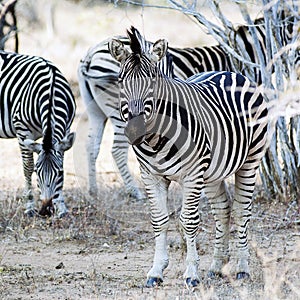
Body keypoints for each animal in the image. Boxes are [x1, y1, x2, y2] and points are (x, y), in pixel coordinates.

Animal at [0, 50, 76, 217]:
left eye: (60, 173)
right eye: (37, 172)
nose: (45, 211)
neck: (51, 91)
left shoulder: (66, 129)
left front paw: (61, 207)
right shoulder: (22, 131)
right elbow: (26, 167)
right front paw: (29, 207)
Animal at [77, 11, 296, 199]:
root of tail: (90, 55)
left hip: (95, 109)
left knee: (91, 145)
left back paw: (93, 191)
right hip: (118, 111)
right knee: (117, 149)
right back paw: (134, 191)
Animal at [109, 29, 268, 288]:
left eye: (153, 80)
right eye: (121, 81)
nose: (134, 130)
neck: (156, 139)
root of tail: (230, 72)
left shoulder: (192, 174)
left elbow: (189, 221)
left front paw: (192, 274)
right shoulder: (151, 175)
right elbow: (159, 219)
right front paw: (156, 271)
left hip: (250, 161)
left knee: (241, 210)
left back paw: (242, 269)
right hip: (213, 172)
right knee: (223, 209)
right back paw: (216, 267)